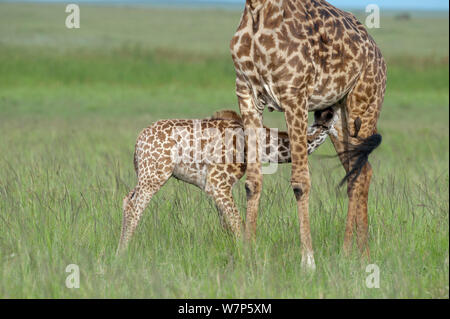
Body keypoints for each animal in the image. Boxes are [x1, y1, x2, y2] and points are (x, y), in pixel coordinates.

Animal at [118, 109, 336, 254]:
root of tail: (138, 142)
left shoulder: (215, 187)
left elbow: (227, 225)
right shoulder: (218, 182)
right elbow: (238, 224)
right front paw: (246, 257)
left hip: (144, 175)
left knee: (126, 199)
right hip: (154, 176)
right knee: (134, 207)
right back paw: (123, 254)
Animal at [232, 0, 386, 270]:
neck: (258, 11)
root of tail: (378, 54)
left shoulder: (294, 95)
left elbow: (300, 182)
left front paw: (308, 261)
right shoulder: (246, 93)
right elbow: (252, 181)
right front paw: (248, 254)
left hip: (363, 108)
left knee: (360, 172)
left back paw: (360, 255)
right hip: (337, 118)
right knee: (357, 171)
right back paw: (351, 253)